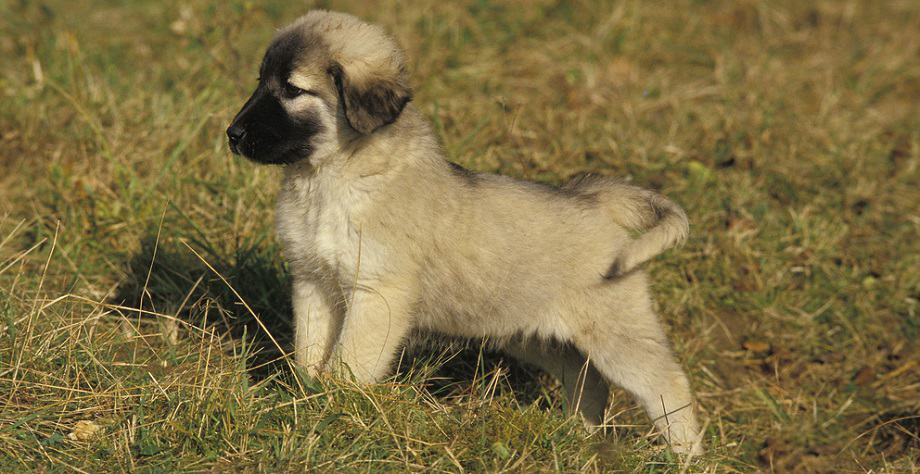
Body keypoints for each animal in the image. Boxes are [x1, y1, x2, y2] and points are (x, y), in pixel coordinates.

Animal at [228, 12, 704, 456]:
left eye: (292, 90)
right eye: (261, 83)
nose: (232, 134)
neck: (332, 179)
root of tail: (594, 198)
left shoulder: (376, 295)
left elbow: (348, 362)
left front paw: (331, 409)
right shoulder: (314, 283)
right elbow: (309, 353)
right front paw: (304, 399)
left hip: (615, 332)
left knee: (667, 383)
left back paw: (686, 456)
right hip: (533, 333)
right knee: (588, 380)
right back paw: (576, 438)